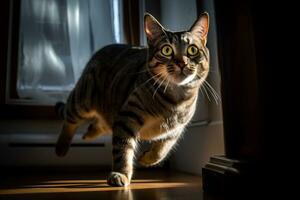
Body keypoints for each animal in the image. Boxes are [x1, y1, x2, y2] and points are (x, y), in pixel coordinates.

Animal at [56, 12, 211, 187]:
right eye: (166, 50)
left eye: (192, 50)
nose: (182, 63)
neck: (176, 100)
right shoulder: (127, 117)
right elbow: (122, 149)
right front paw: (121, 173)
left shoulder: (176, 129)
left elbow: (162, 149)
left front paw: (147, 159)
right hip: (83, 99)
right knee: (70, 117)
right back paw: (61, 147)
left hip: (110, 111)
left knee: (102, 123)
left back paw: (89, 133)